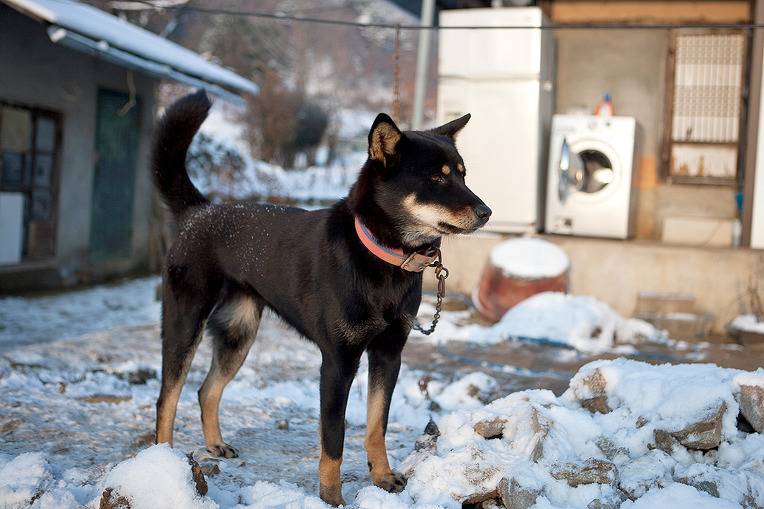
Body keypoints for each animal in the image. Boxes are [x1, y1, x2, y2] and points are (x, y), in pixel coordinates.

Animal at [152, 91, 492, 504]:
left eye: (462, 174)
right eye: (437, 177)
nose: (487, 212)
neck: (382, 255)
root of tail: (199, 212)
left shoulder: (388, 355)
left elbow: (377, 425)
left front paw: (383, 477)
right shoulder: (337, 364)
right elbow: (334, 439)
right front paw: (331, 498)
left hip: (238, 334)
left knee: (207, 390)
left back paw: (215, 444)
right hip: (186, 323)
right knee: (168, 396)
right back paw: (163, 462)